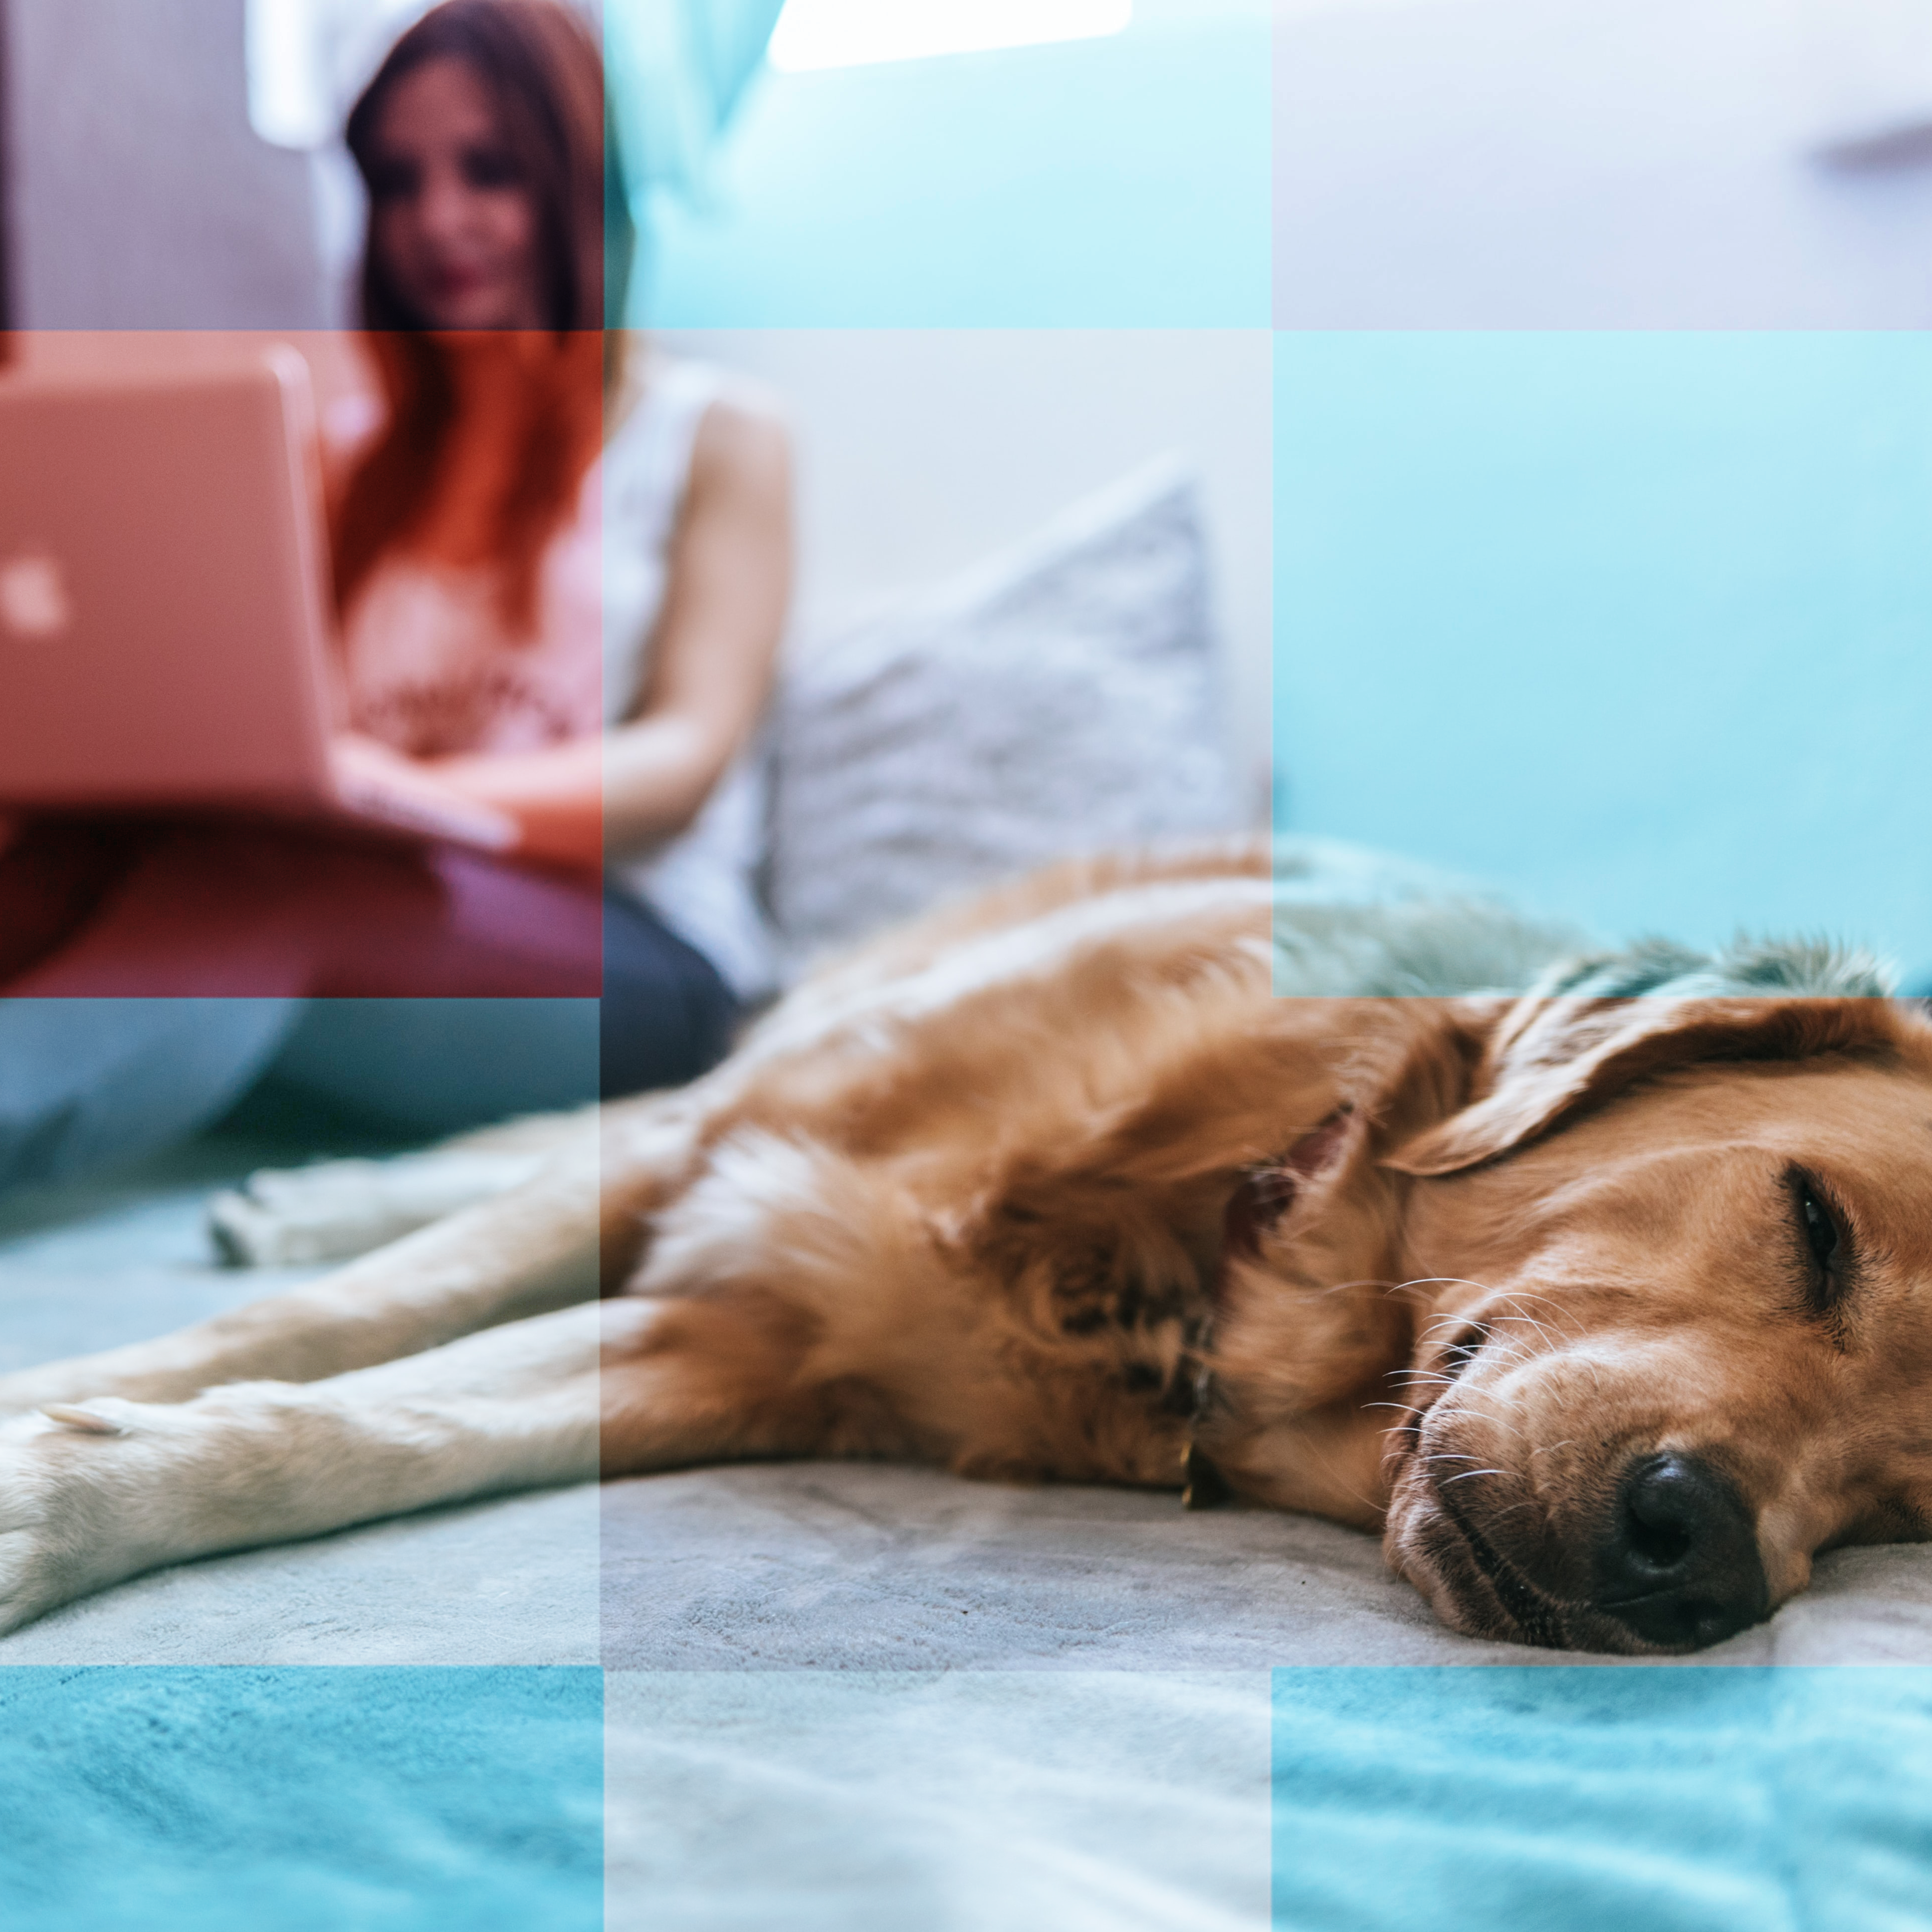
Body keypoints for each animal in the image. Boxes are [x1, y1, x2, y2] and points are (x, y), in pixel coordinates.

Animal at [3, 838, 1932, 1654]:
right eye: (1810, 1223)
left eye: (1904, 1506)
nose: (1701, 1556)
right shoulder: (714, 1163)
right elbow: (337, 1330)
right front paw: (67, 1414)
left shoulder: (742, 1348)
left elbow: (369, 1423)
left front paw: (78, 1482)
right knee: (533, 1145)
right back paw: (303, 1195)